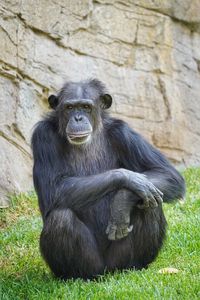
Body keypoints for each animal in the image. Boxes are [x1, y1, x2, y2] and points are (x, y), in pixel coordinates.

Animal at [31, 78, 186, 280]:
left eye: (86, 107)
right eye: (69, 107)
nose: (78, 118)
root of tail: (107, 273)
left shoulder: (123, 132)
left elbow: (167, 173)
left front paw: (122, 201)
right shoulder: (42, 136)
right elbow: (52, 188)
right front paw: (129, 178)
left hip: (119, 260)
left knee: (149, 204)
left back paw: (134, 267)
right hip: (93, 264)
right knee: (61, 219)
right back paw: (76, 276)